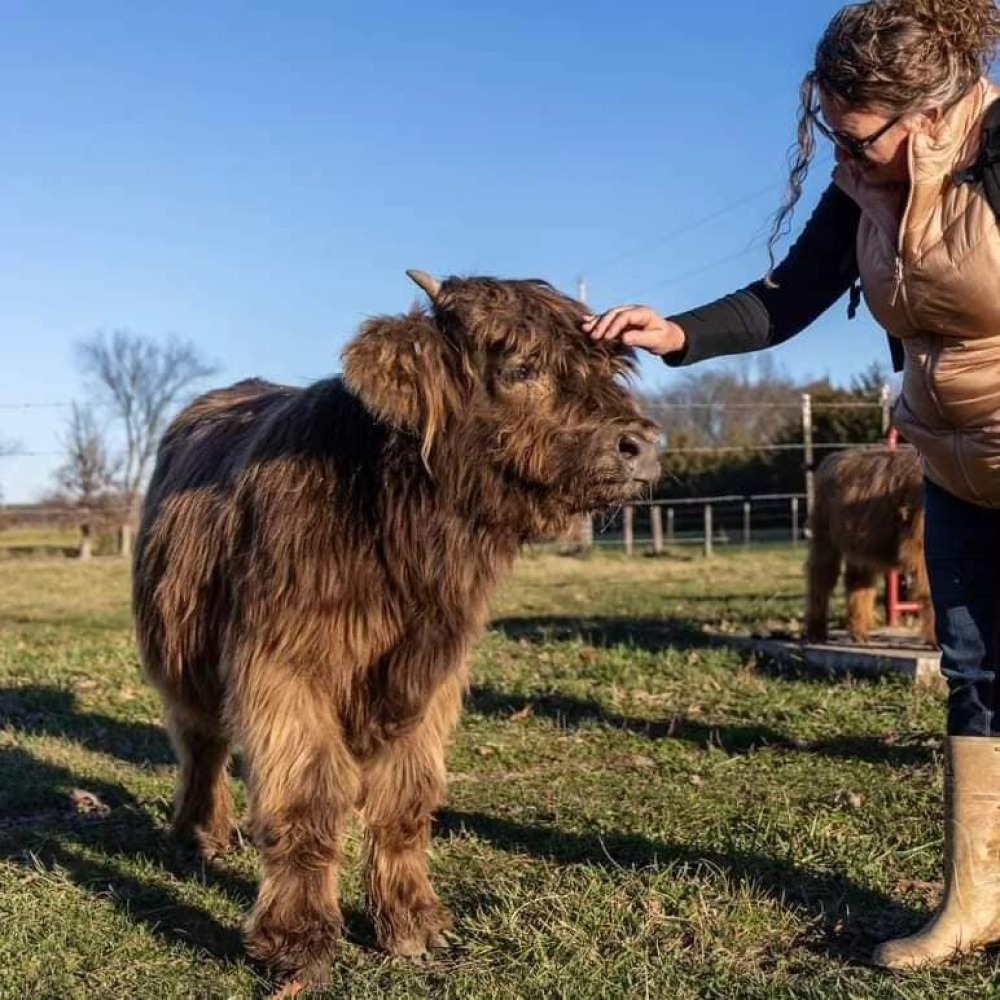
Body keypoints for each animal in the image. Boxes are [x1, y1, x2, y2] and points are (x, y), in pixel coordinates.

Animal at [135, 268, 664, 984]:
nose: (641, 445)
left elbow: (407, 799)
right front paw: (297, 942)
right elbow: (309, 797)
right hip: (178, 652)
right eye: (521, 367)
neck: (400, 535)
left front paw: (413, 923)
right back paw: (200, 838)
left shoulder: (430, 673)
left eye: (610, 367)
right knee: (201, 745)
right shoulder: (285, 668)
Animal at [800, 444, 932, 640]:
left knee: (857, 582)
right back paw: (818, 631)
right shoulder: (919, 548)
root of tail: (831, 458)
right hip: (825, 537)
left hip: (862, 545)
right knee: (821, 578)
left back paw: (860, 632)